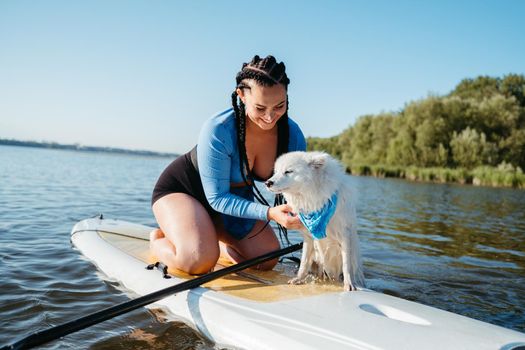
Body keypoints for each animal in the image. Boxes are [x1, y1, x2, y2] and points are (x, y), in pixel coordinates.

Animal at [266, 152, 364, 292]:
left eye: (288, 171)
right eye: (276, 171)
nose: (267, 183)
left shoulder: (345, 235)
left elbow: (346, 265)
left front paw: (349, 284)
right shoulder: (308, 237)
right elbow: (304, 262)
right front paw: (298, 279)